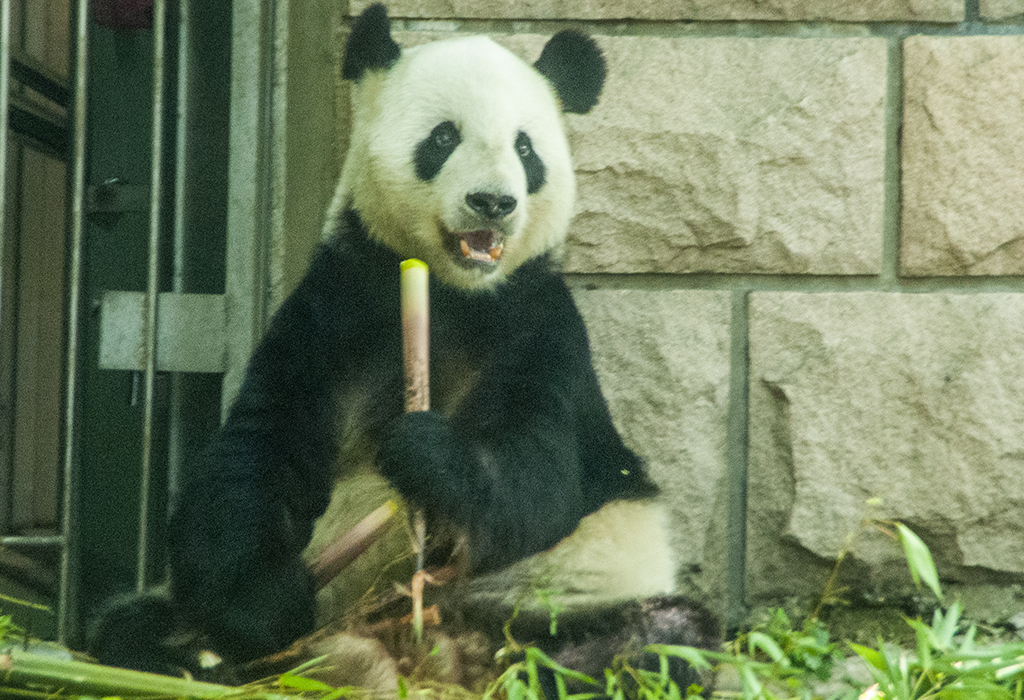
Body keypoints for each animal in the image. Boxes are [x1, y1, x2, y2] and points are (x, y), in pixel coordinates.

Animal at [94, 1, 720, 687]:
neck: (452, 294)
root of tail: (413, 653)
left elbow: (541, 476)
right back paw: (204, 656)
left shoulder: (542, 330)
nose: (493, 202)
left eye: (525, 147)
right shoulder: (336, 308)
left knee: (660, 638)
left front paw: (424, 451)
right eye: (442, 139)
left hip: (564, 598)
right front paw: (263, 600)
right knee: (129, 624)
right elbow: (259, 447)